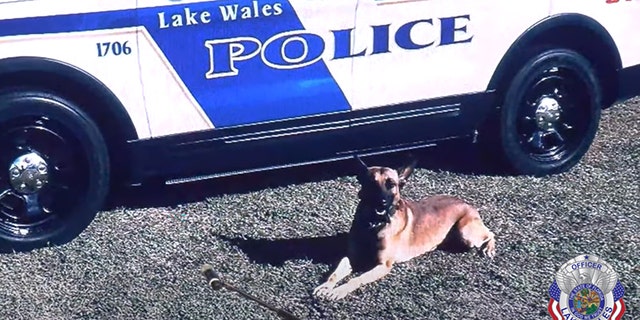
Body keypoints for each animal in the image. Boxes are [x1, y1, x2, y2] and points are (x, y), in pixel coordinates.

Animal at [312, 156, 498, 302]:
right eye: (371, 183)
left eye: (391, 184)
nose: (382, 203)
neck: (373, 225)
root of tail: (467, 203)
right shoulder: (351, 256)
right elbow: (335, 273)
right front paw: (326, 286)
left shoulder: (383, 265)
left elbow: (356, 279)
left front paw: (338, 291)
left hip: (465, 233)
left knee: (490, 233)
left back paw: (488, 248)